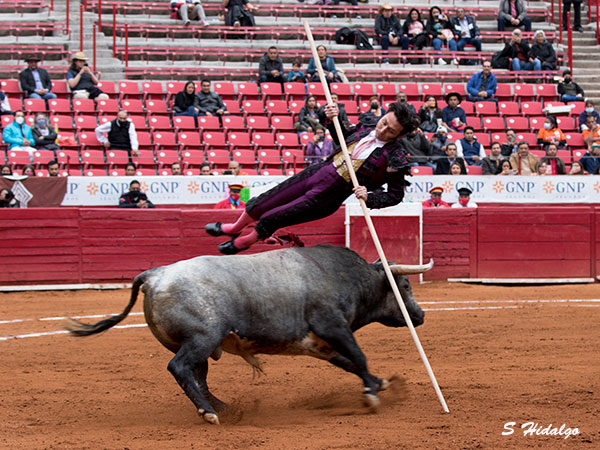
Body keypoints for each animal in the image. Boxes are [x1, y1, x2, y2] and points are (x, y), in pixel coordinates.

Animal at [67, 246, 432, 426]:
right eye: (405, 284)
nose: (420, 316)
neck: (347, 275)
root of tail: (155, 275)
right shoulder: (332, 326)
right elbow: (358, 355)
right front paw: (371, 394)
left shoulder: (317, 343)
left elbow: (349, 362)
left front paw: (377, 383)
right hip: (202, 338)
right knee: (180, 369)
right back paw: (209, 414)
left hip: (201, 345)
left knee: (196, 376)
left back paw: (223, 408)